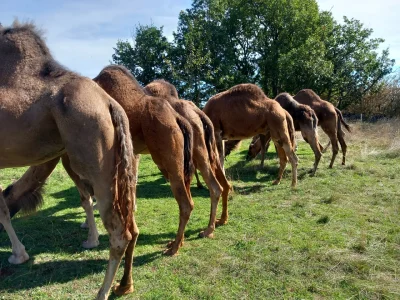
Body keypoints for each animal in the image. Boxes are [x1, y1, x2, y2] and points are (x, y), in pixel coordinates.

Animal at [0, 21, 138, 300]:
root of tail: (110, 104)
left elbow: (2, 209)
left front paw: (18, 255)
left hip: (94, 160)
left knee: (119, 231)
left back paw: (102, 292)